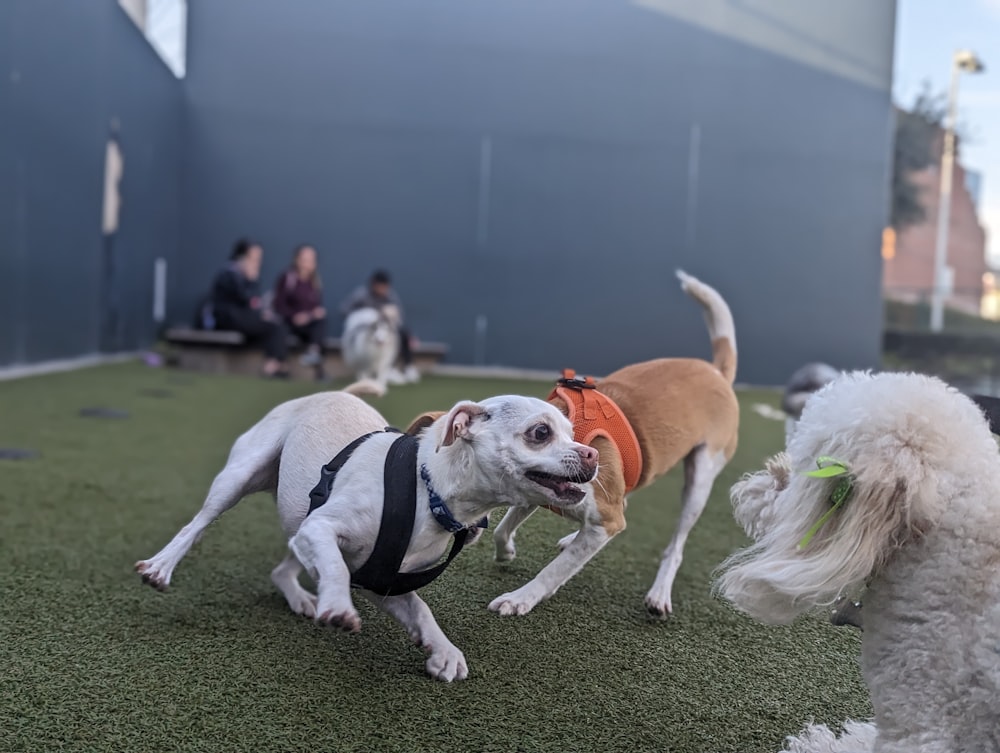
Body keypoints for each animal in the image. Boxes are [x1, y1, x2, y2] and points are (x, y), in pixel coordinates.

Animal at [137, 388, 596, 680]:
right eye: (540, 433)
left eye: (572, 433)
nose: (593, 453)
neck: (428, 492)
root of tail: (333, 390)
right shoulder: (324, 528)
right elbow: (339, 570)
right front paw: (338, 604)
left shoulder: (383, 578)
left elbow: (421, 612)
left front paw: (442, 651)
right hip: (239, 478)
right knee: (196, 526)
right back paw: (161, 567)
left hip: (299, 519)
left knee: (286, 563)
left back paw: (301, 596)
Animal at [488, 274, 740, 612]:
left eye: (537, 434)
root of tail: (716, 372)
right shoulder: (539, 494)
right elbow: (502, 530)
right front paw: (506, 552)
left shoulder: (607, 520)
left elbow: (553, 571)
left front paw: (520, 598)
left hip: (700, 480)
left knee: (676, 545)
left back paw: (659, 592)